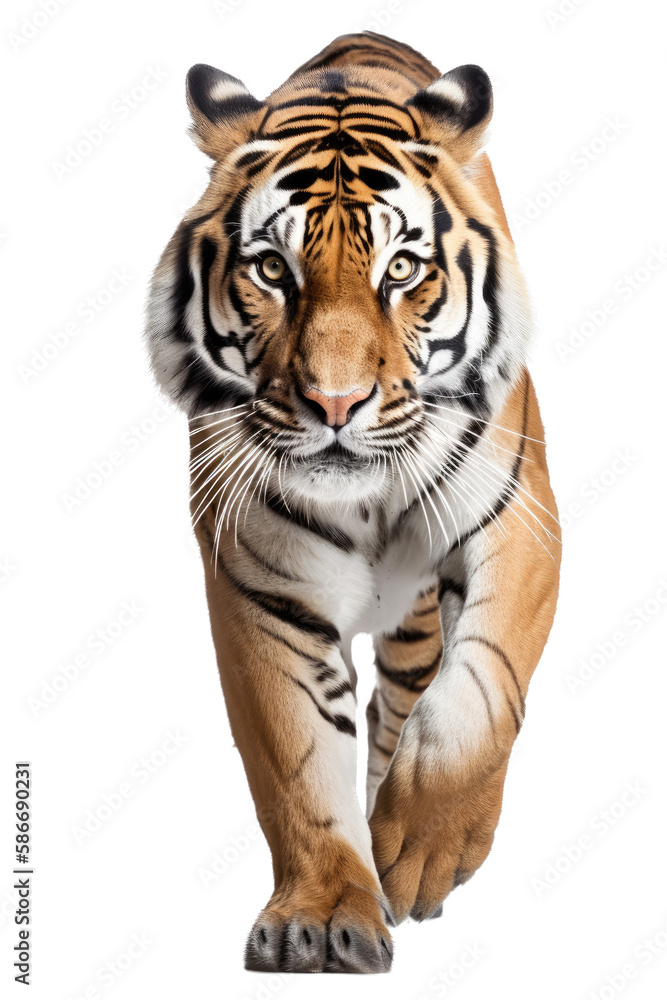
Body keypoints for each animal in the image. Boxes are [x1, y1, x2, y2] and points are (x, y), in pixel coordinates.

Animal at [145, 31, 561, 974]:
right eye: (272, 269)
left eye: (400, 269)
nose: (334, 406)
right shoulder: (259, 587)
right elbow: (297, 761)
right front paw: (325, 916)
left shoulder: (518, 522)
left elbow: (480, 689)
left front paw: (424, 846)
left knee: (408, 693)